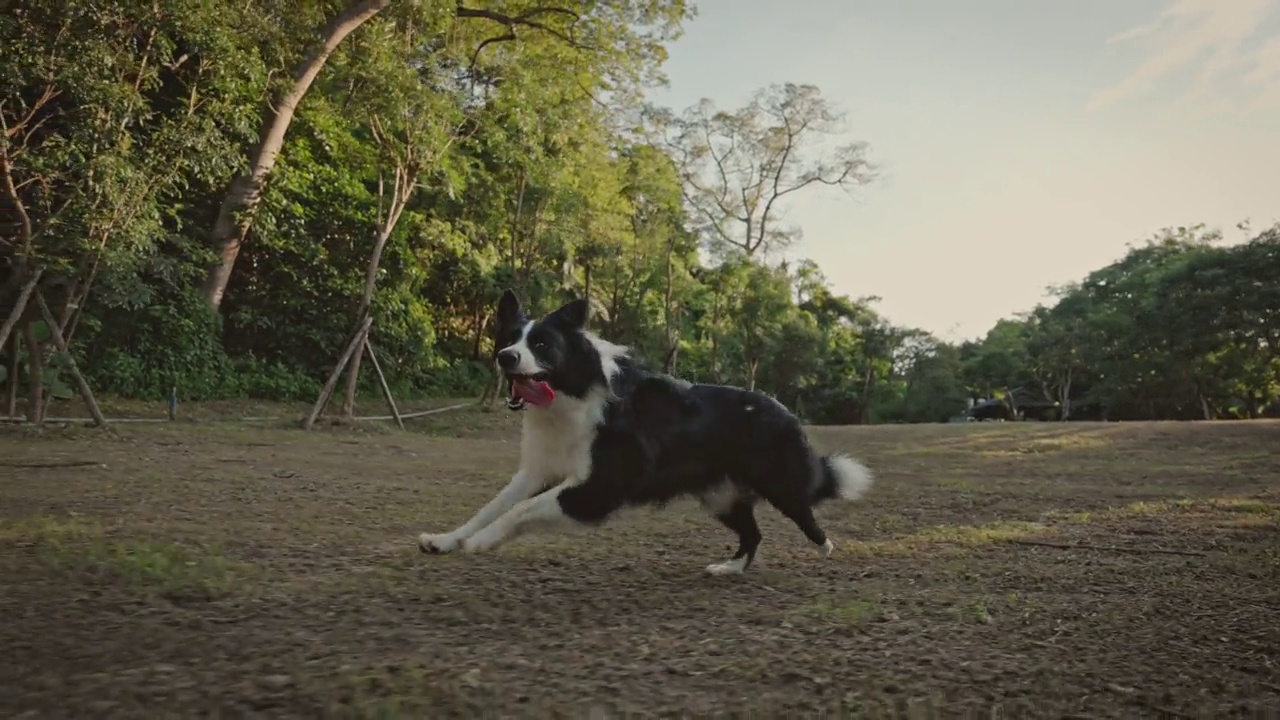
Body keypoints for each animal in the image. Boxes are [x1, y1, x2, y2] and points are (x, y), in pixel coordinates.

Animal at [414, 286, 875, 571]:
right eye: (510, 338)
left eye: (541, 344)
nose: (506, 357)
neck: (572, 395)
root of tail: (785, 411)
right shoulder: (539, 470)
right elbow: (492, 506)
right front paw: (447, 539)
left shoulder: (598, 486)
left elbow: (521, 510)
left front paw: (481, 542)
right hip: (719, 495)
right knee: (754, 534)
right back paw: (729, 568)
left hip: (778, 484)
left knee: (806, 515)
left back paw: (824, 547)